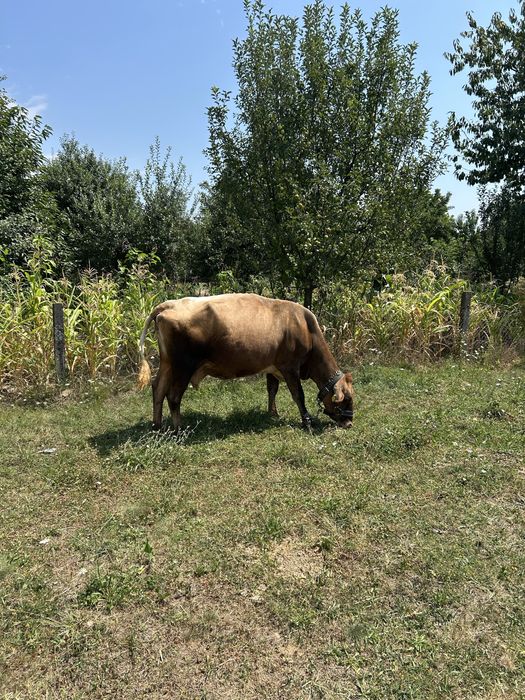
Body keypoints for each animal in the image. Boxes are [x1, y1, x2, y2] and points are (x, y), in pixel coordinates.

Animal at [137, 293, 354, 431]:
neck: (306, 329)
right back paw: (179, 429)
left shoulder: (272, 366)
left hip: (167, 363)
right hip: (183, 366)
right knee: (173, 396)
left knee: (158, 388)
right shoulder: (290, 367)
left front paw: (272, 413)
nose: (350, 423)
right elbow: (298, 395)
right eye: (347, 399)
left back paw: (157, 425)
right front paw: (307, 421)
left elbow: (272, 389)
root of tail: (170, 304)